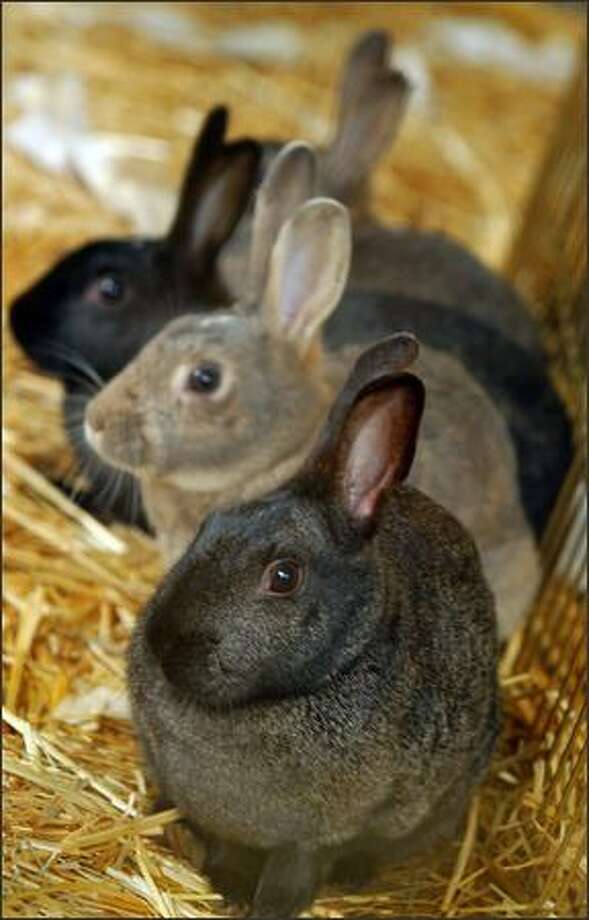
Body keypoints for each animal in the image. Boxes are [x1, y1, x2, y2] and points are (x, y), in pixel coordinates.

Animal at [128, 333, 501, 918]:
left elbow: (294, 870)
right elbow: (227, 847)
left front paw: (268, 906)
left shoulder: (321, 834)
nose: (164, 640)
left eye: (284, 576)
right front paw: (230, 887)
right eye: (211, 524)